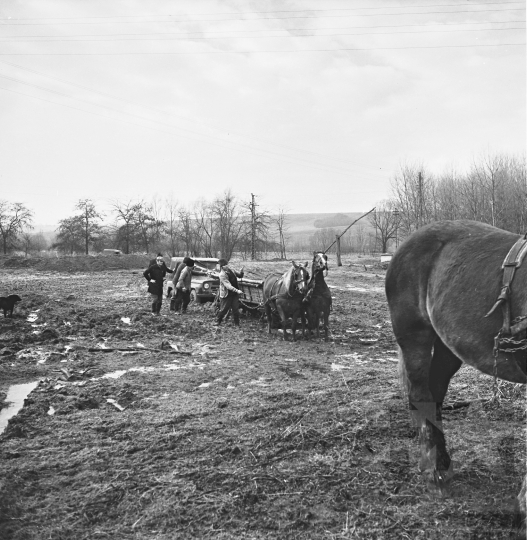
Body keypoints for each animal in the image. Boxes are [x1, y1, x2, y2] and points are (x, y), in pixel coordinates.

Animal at [386, 219, 524, 532]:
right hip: (414, 335)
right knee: (421, 395)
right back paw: (433, 471)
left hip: (449, 343)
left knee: (436, 393)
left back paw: (443, 462)